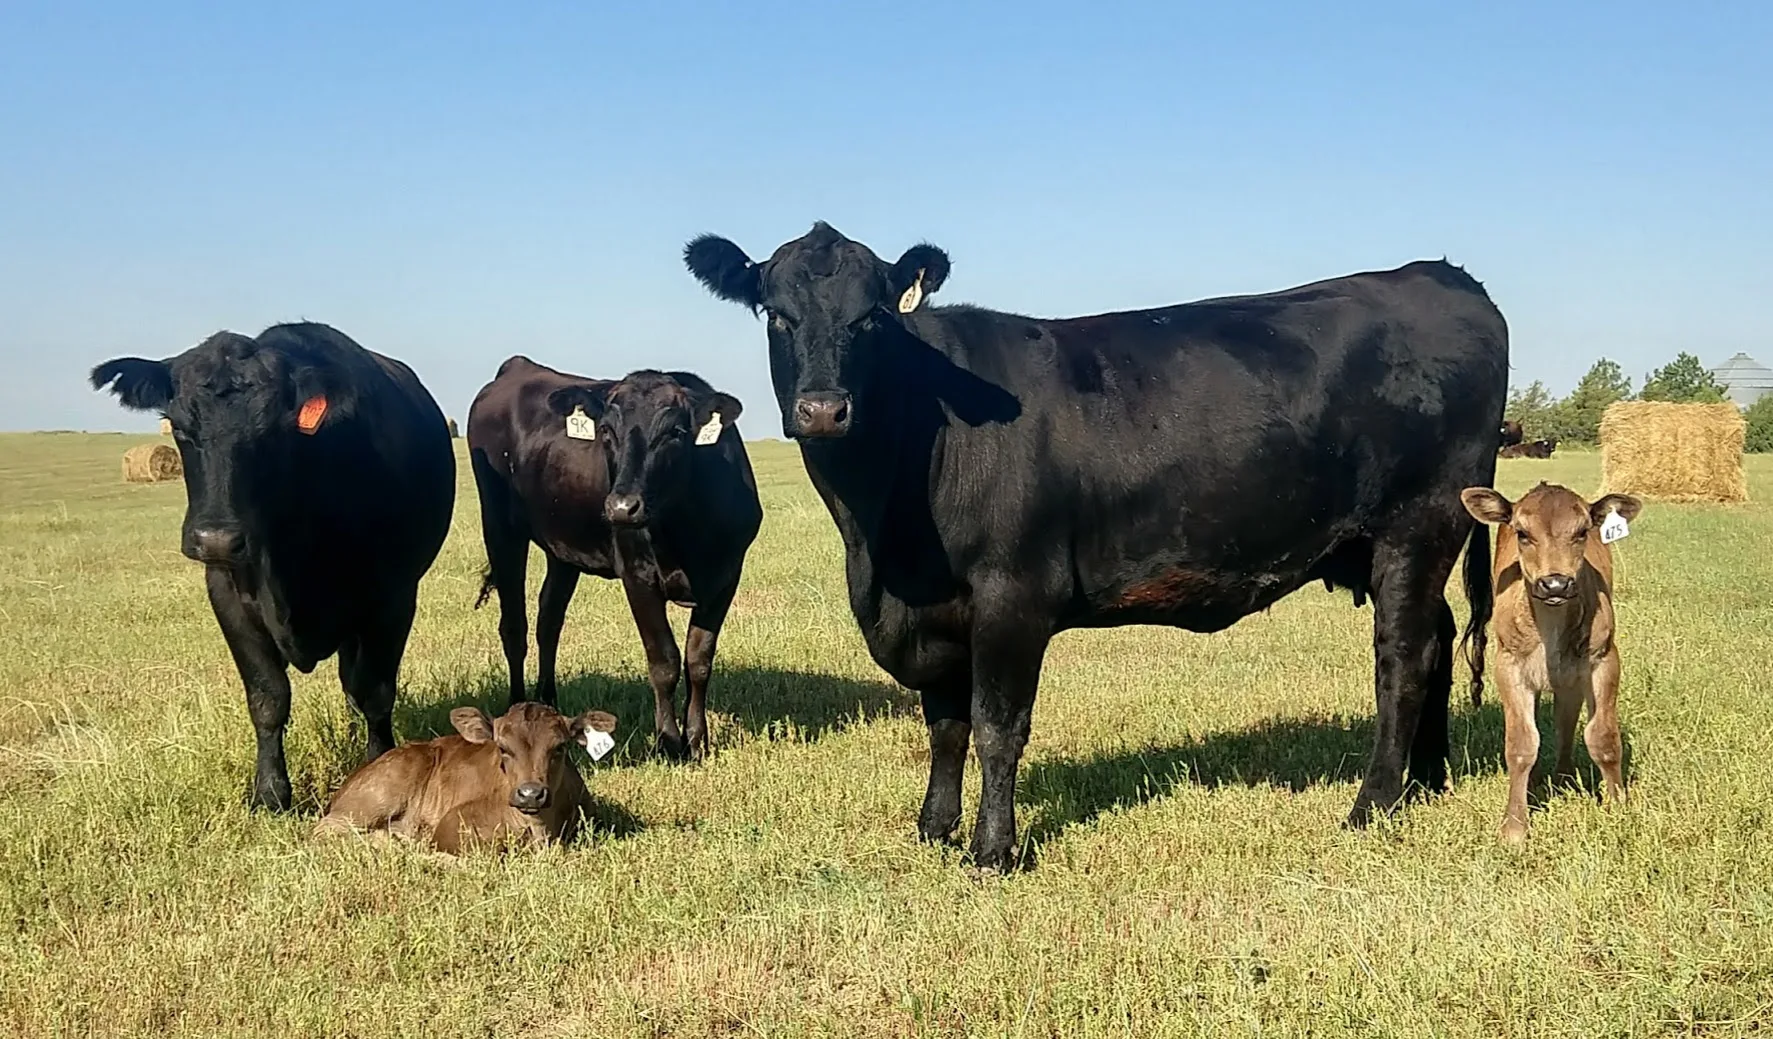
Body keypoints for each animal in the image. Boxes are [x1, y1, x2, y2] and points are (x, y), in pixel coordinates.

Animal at [90, 323, 456, 811]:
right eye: (180, 428)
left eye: (271, 432)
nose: (215, 538)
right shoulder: (227, 594)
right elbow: (267, 697)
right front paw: (269, 793)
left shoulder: (393, 598)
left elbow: (376, 692)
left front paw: (376, 767)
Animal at [466, 359, 762, 760]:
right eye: (606, 430)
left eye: (675, 432)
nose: (622, 507)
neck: (687, 526)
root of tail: (518, 366)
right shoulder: (637, 575)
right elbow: (664, 661)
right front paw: (669, 742)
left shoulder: (726, 575)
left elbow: (699, 660)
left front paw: (698, 739)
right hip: (500, 527)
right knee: (514, 627)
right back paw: (517, 710)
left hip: (562, 547)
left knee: (549, 620)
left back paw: (548, 705)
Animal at [683, 221, 1508, 870]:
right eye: (776, 314)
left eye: (872, 317)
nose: (823, 409)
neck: (879, 541)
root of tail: (1440, 274)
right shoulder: (931, 611)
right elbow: (944, 725)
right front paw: (933, 829)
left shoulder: (1011, 594)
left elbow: (995, 725)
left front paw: (992, 849)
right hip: (1384, 543)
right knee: (1435, 638)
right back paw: (1427, 780)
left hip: (1417, 523)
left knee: (1402, 658)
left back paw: (1372, 802)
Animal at [1460, 482, 1640, 844]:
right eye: (1523, 533)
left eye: (1582, 531)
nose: (1555, 583)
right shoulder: (1509, 665)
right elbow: (1521, 744)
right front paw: (1514, 827)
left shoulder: (1603, 659)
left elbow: (1603, 738)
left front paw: (1617, 808)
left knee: (1565, 720)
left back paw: (1563, 776)